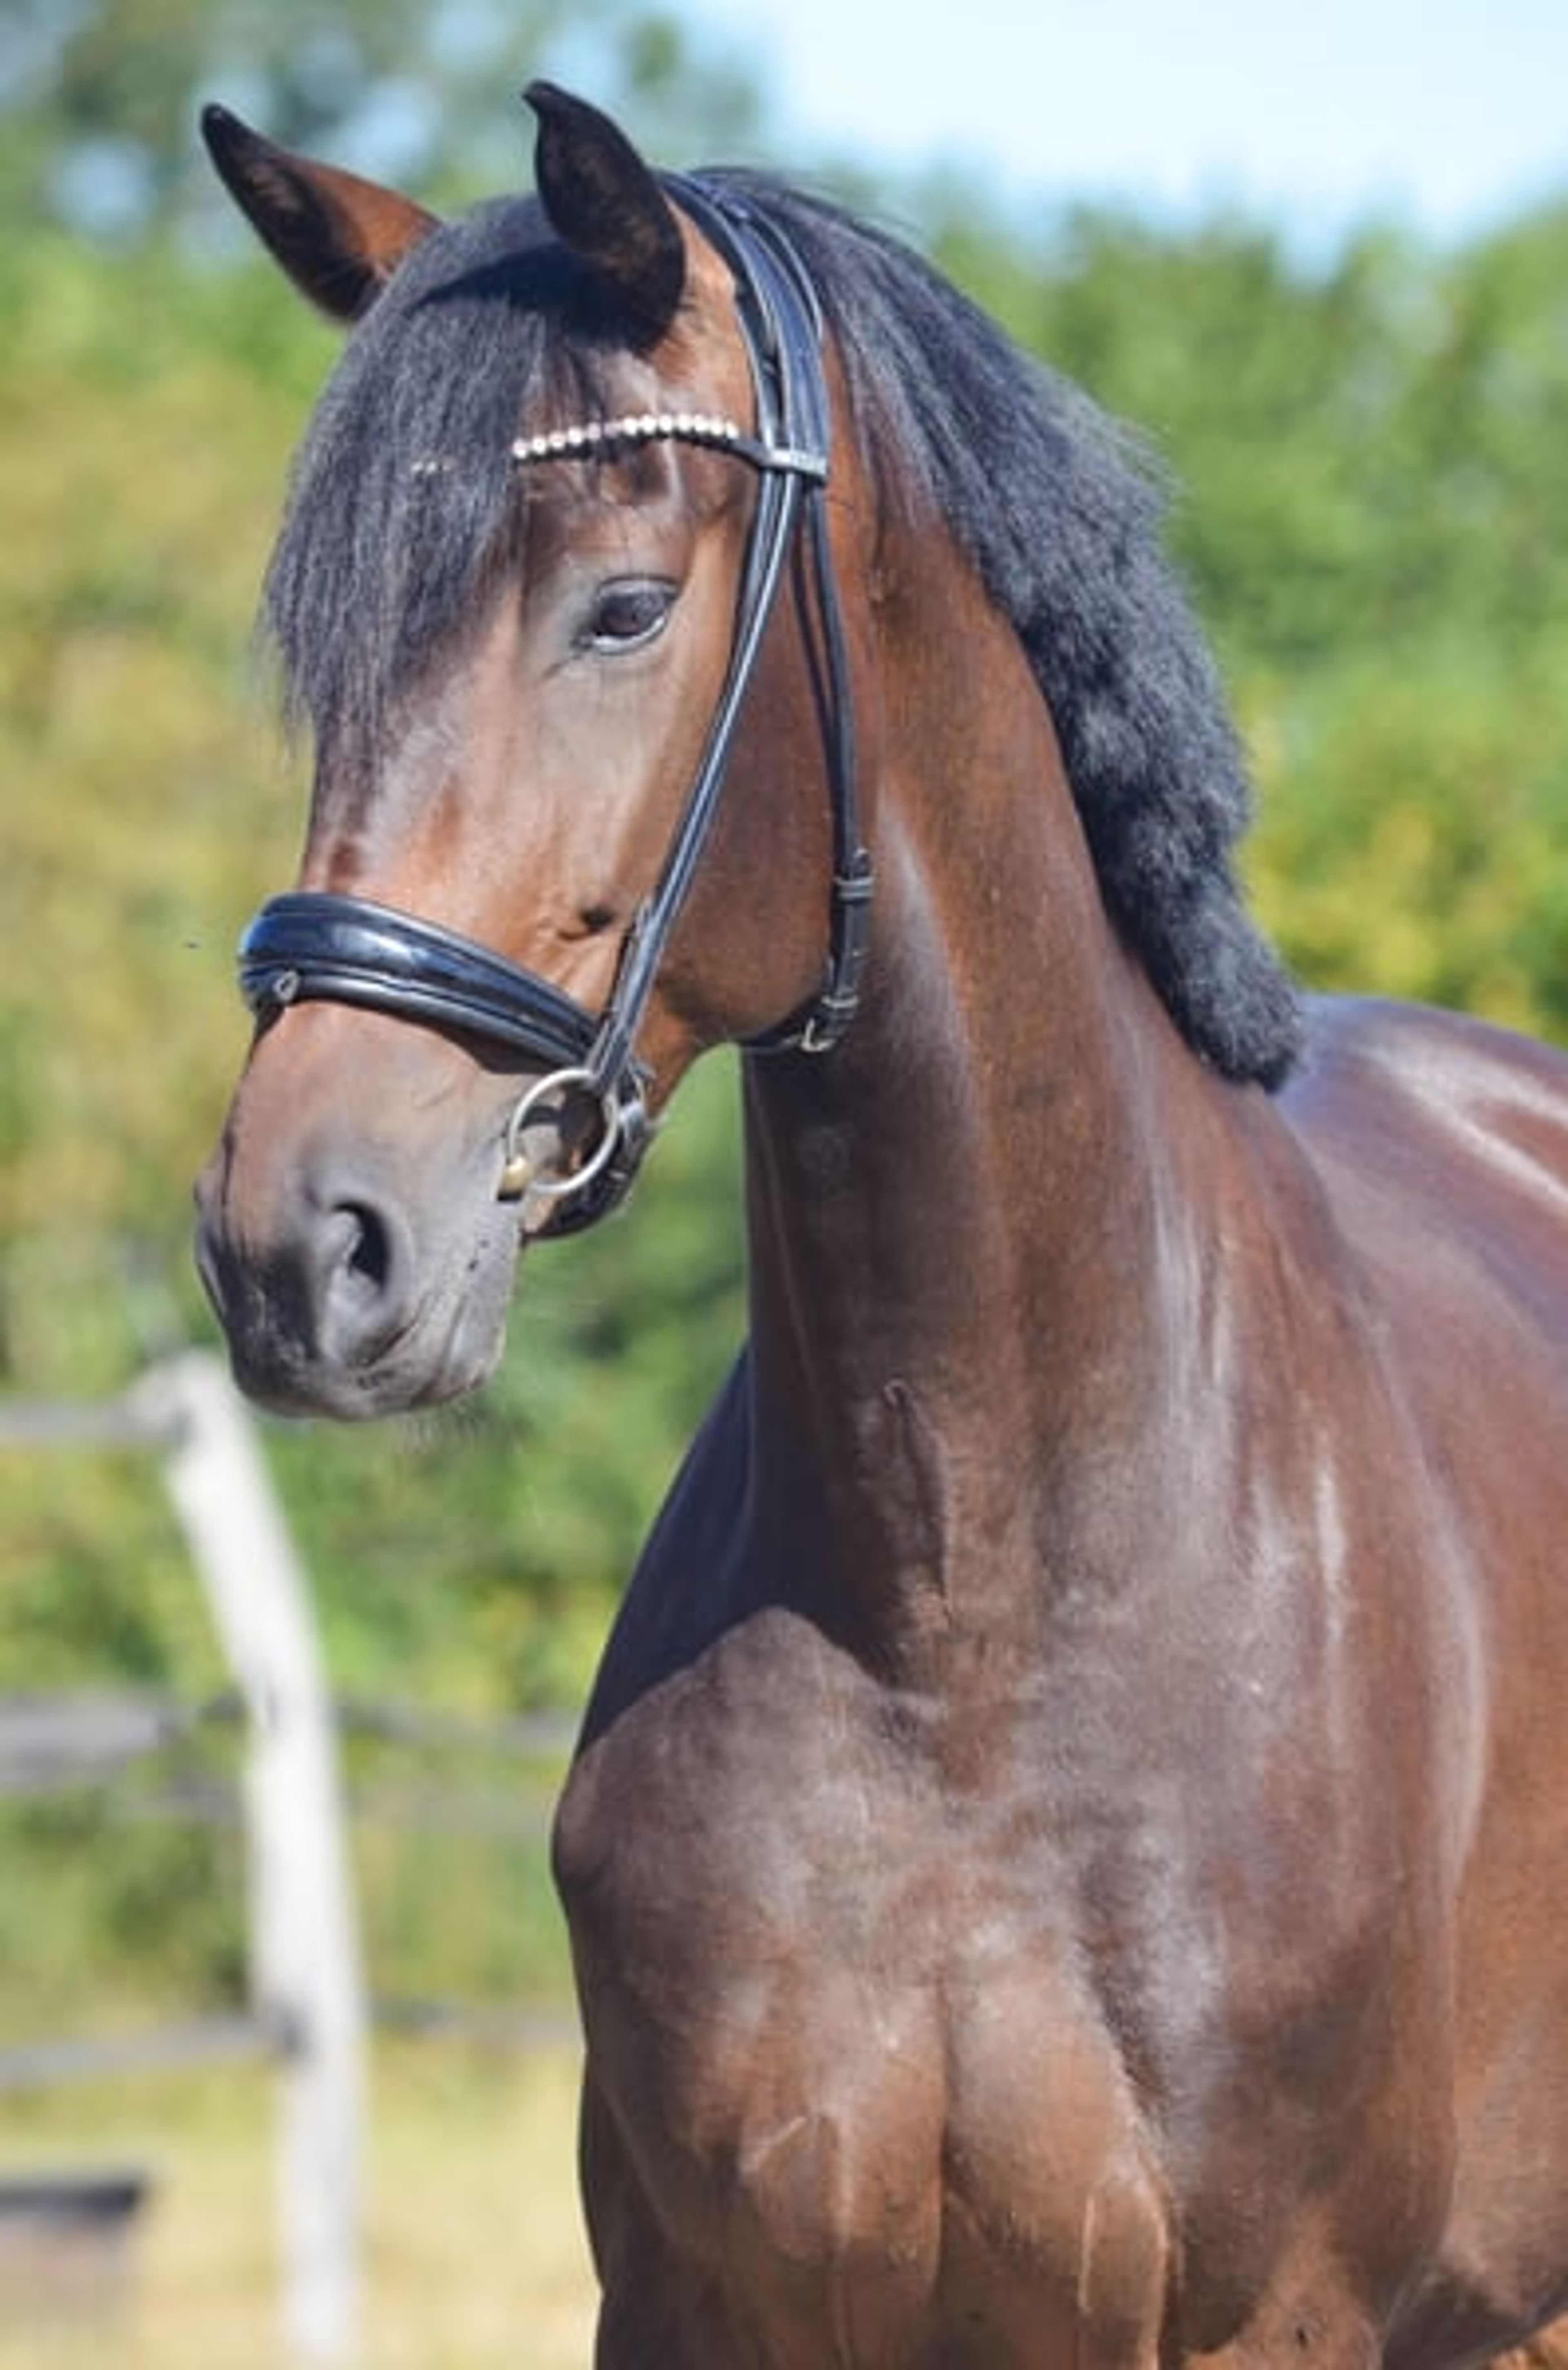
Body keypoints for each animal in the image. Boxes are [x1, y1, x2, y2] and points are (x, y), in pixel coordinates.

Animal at [193, 81, 1568, 2368]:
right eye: (329, 650)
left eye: (622, 610)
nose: (302, 1247)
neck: (969, 1635)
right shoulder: (692, 2307)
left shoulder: (1272, 2317)